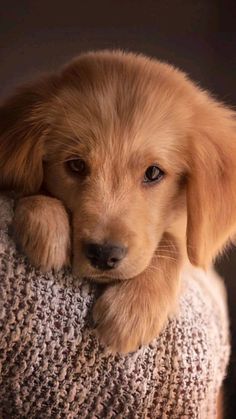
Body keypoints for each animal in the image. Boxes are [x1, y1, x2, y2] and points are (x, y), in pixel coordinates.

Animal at [0, 50, 236, 356]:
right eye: (76, 165)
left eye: (153, 173)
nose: (103, 254)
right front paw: (46, 223)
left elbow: (173, 244)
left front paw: (133, 309)